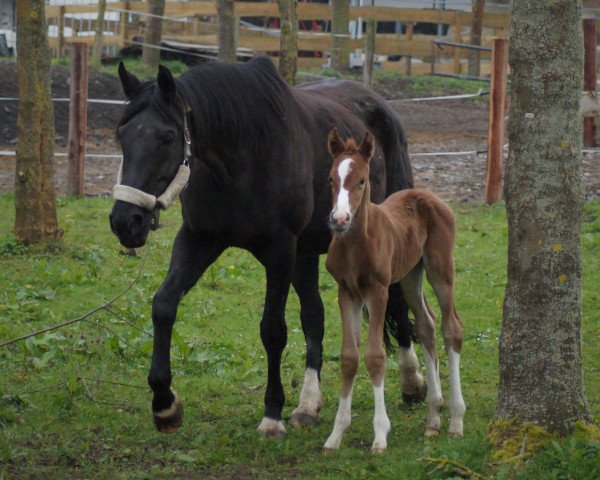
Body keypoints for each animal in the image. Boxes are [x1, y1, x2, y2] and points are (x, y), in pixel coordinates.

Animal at [109, 54, 422, 436]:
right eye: (122, 134)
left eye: (167, 137)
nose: (125, 221)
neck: (242, 155)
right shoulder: (199, 239)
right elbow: (164, 305)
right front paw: (164, 402)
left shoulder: (279, 250)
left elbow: (273, 329)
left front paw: (272, 414)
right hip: (306, 253)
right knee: (314, 316)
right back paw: (308, 405)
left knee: (397, 298)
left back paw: (412, 381)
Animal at [324, 129, 464, 452]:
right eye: (331, 179)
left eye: (362, 180)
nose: (339, 219)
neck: (356, 243)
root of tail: (429, 195)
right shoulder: (346, 293)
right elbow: (349, 358)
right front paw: (336, 434)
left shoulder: (378, 291)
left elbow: (375, 356)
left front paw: (379, 435)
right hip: (411, 275)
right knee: (426, 326)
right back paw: (433, 419)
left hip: (440, 269)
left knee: (452, 328)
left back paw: (455, 420)